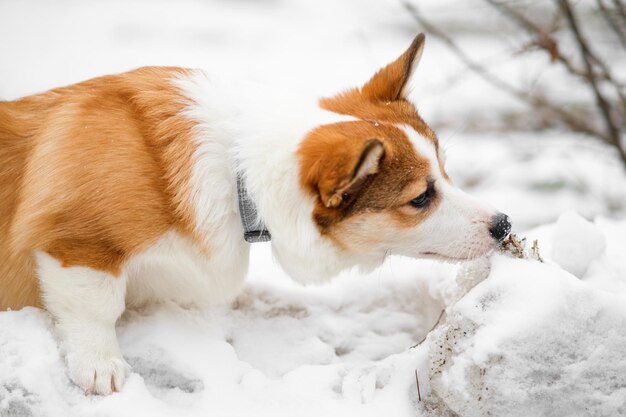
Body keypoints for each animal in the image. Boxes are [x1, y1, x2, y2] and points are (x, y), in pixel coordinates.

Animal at [0, 35, 508, 394]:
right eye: (421, 198)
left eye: (445, 171)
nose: (504, 224)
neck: (237, 172)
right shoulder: (77, 244)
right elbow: (95, 308)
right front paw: (100, 365)